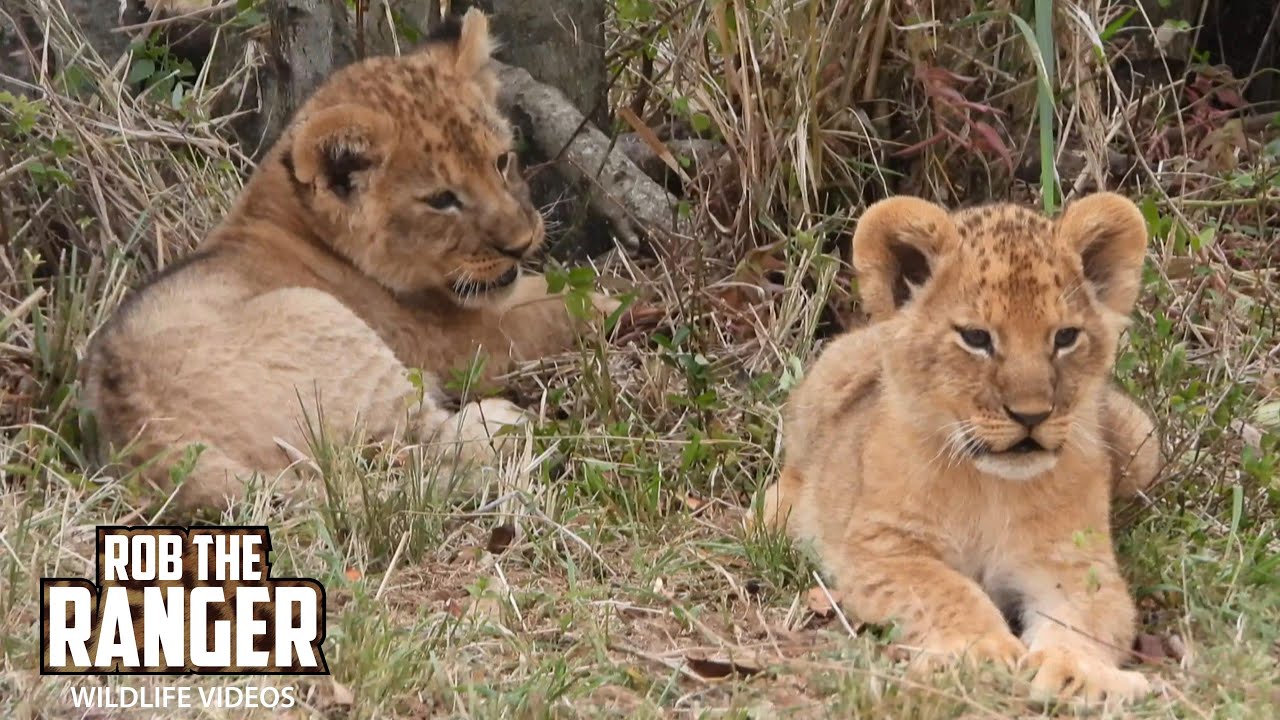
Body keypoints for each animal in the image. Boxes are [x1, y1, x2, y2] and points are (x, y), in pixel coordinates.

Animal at [80, 10, 615, 513]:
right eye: (442, 200)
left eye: (501, 162)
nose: (522, 244)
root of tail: (153, 446)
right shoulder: (462, 341)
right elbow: (564, 307)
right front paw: (627, 304)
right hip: (317, 317)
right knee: (413, 452)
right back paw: (505, 424)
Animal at [755, 193, 1163, 704]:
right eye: (976, 337)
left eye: (1066, 337)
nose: (1031, 416)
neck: (991, 486)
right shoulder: (884, 548)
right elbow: (948, 591)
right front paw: (982, 652)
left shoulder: (1074, 562)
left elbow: (1088, 616)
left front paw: (1079, 672)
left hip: (1143, 443)